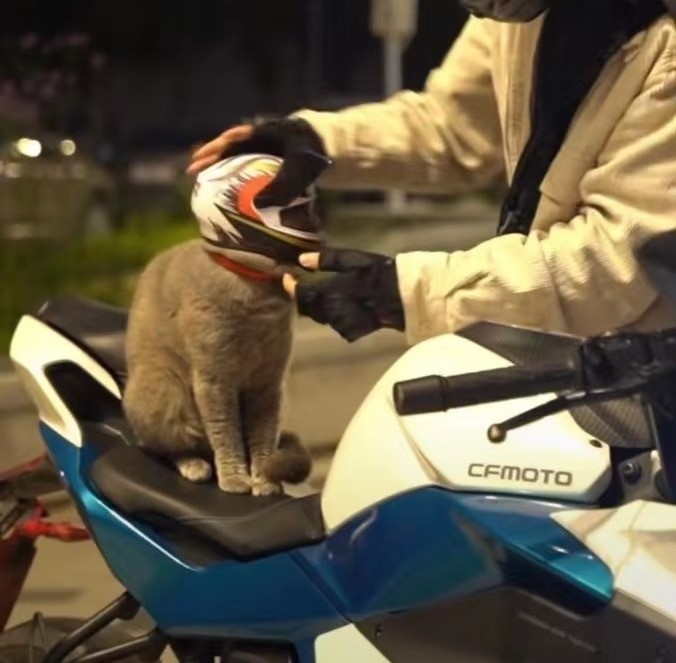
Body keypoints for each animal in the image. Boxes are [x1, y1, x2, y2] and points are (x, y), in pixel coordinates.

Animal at [123, 240, 310, 498]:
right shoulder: (215, 379)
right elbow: (225, 432)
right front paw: (235, 479)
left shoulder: (269, 383)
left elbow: (264, 435)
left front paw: (264, 479)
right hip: (162, 389)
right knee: (165, 448)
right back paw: (194, 465)